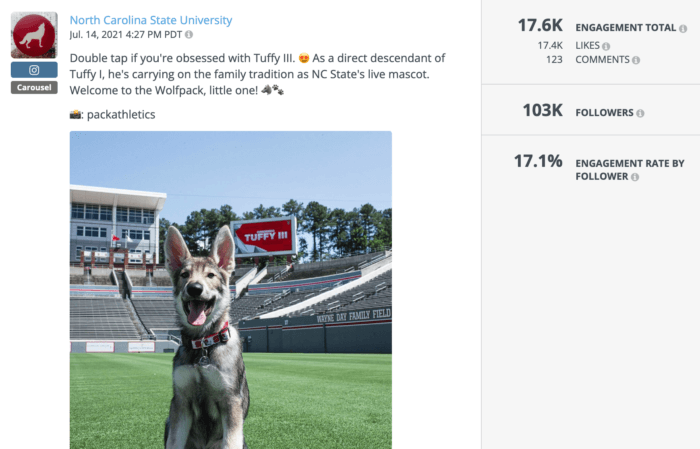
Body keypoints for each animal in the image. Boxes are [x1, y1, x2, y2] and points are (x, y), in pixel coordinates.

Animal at [163, 226, 250, 448]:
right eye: (184, 274)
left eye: (211, 275)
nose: (195, 288)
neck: (203, 344)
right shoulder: (180, 403)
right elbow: (174, 442)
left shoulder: (230, 402)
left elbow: (230, 442)